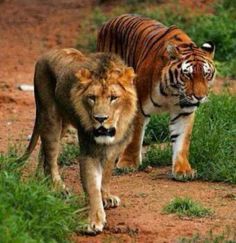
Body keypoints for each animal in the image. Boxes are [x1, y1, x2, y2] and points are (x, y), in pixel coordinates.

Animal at [19, 49, 137, 234]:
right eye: (92, 98)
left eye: (113, 97)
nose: (100, 119)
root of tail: (45, 54)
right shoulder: (89, 152)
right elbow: (92, 187)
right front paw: (94, 220)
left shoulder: (115, 150)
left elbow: (106, 175)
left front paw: (106, 196)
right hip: (51, 116)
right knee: (51, 155)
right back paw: (58, 187)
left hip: (64, 124)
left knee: (44, 150)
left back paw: (41, 179)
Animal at [97, 13, 217, 180]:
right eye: (188, 75)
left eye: (206, 74)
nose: (199, 97)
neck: (173, 91)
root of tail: (108, 21)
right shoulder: (139, 106)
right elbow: (135, 137)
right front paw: (128, 164)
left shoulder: (184, 111)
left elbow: (182, 140)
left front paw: (183, 170)